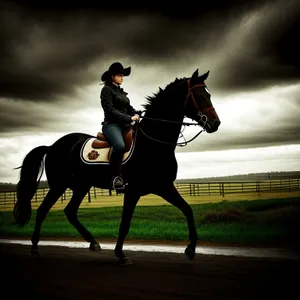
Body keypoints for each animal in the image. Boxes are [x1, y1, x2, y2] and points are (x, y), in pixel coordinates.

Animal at [12, 69, 220, 264]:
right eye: (200, 96)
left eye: (209, 95)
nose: (215, 123)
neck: (152, 144)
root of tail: (53, 146)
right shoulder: (133, 191)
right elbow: (125, 222)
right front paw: (120, 254)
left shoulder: (164, 186)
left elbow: (187, 210)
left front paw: (191, 249)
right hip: (58, 185)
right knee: (42, 211)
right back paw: (35, 248)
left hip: (81, 186)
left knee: (70, 212)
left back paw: (93, 243)